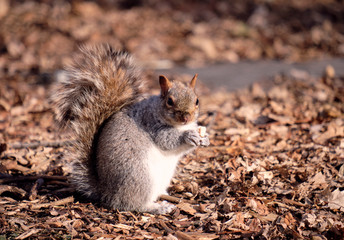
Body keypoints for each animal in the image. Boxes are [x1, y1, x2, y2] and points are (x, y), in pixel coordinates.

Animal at [52, 44, 208, 214]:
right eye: (170, 101)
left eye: (197, 101)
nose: (186, 117)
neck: (179, 126)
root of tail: (106, 192)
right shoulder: (151, 123)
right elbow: (167, 140)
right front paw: (188, 136)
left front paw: (204, 139)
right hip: (139, 176)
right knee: (132, 204)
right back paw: (158, 207)